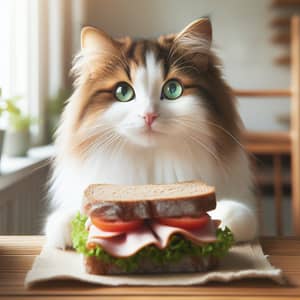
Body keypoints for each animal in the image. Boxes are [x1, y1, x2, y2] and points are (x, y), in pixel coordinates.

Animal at [44, 17, 258, 250]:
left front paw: (226, 218)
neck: (151, 164)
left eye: (173, 89)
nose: (149, 115)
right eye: (123, 92)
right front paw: (66, 226)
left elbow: (240, 215)